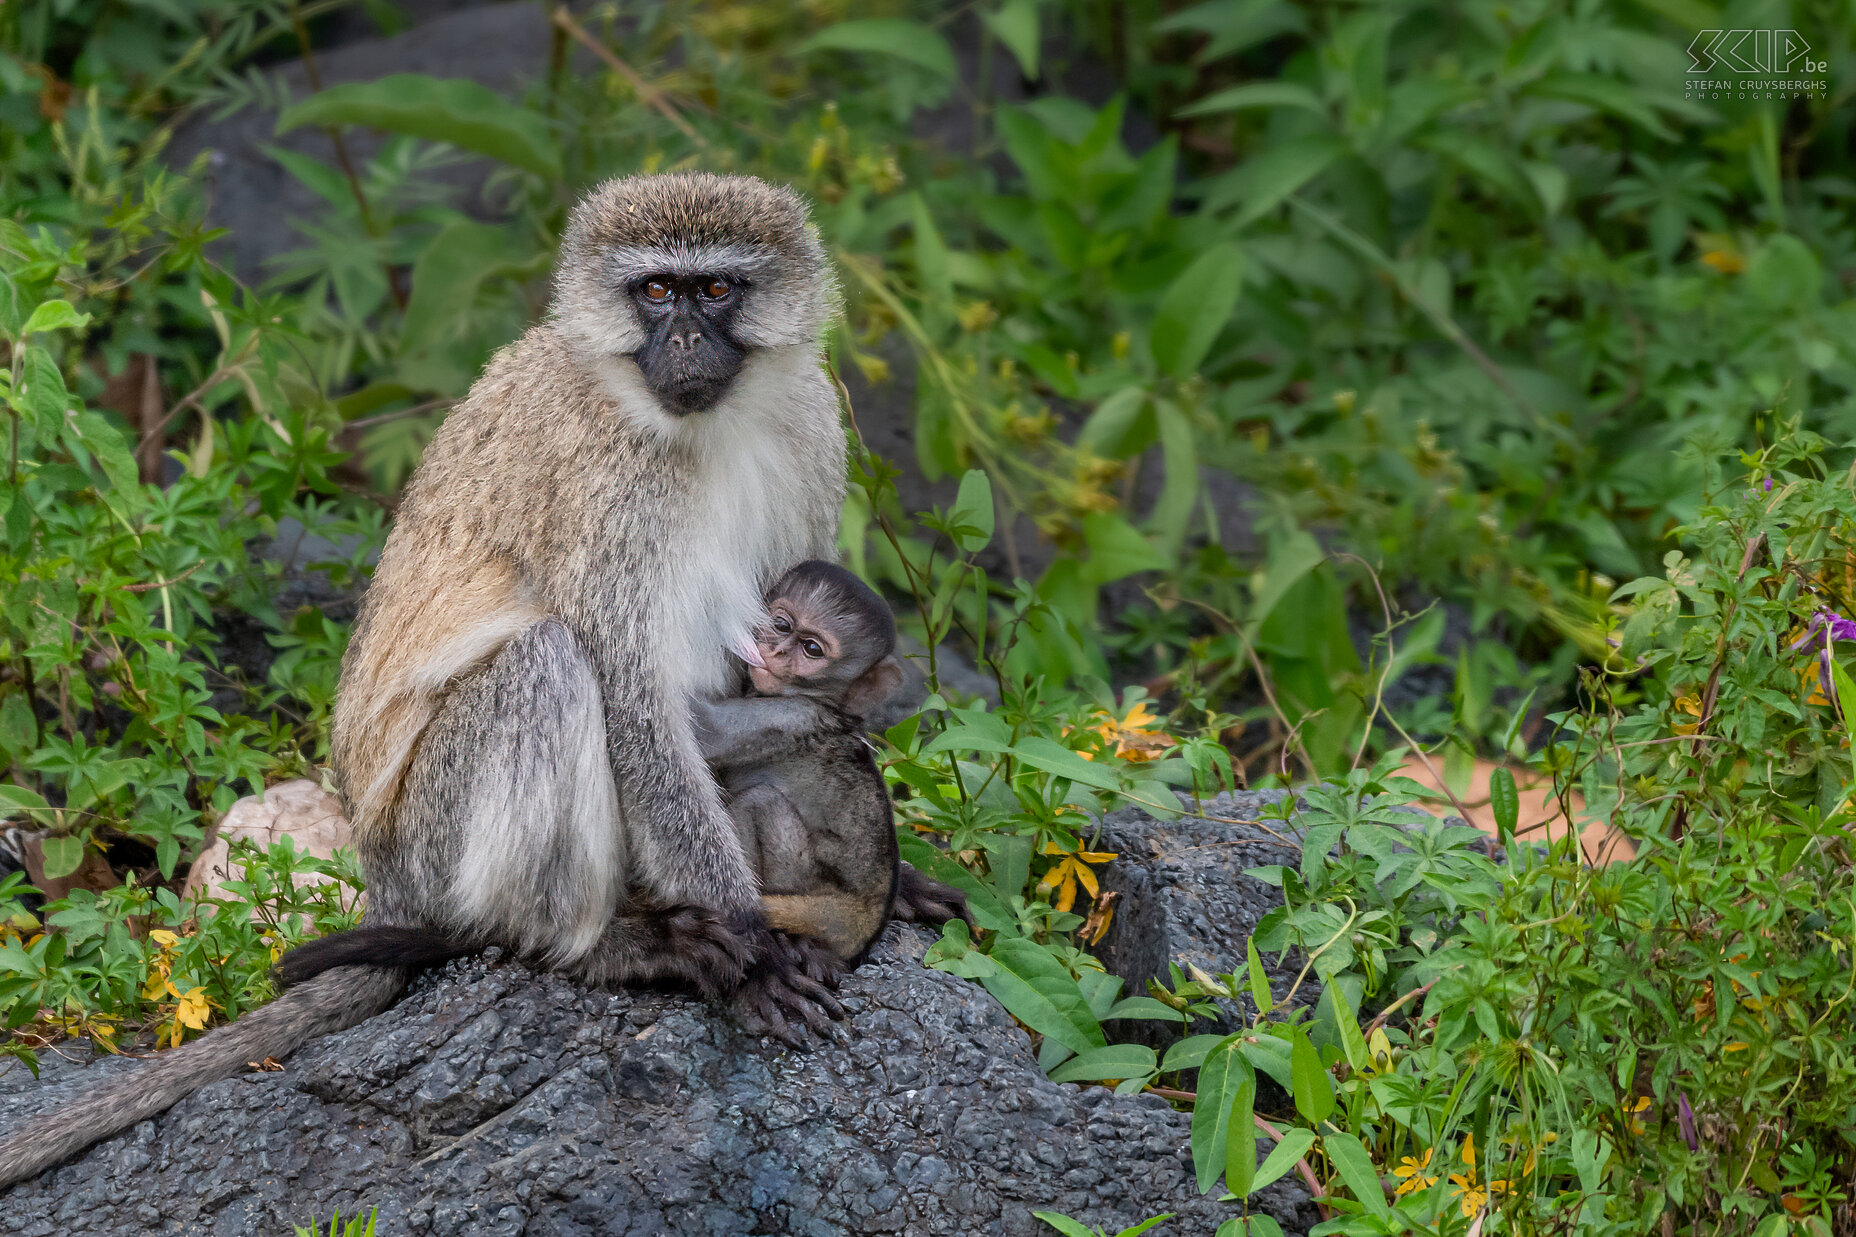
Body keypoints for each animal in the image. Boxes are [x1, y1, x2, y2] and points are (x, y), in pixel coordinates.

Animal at [0, 169, 846, 1181]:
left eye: (715, 289)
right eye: (654, 292)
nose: (681, 339)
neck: (702, 426)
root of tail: (385, 878)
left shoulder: (810, 427)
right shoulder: (606, 489)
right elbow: (633, 702)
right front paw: (751, 942)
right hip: (432, 840)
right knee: (548, 663)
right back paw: (597, 945)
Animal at [697, 557, 972, 973]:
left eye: (812, 649)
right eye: (781, 625)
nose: (777, 652)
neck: (825, 701)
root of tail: (865, 917)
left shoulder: (788, 717)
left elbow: (703, 727)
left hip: (817, 903)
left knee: (759, 801)